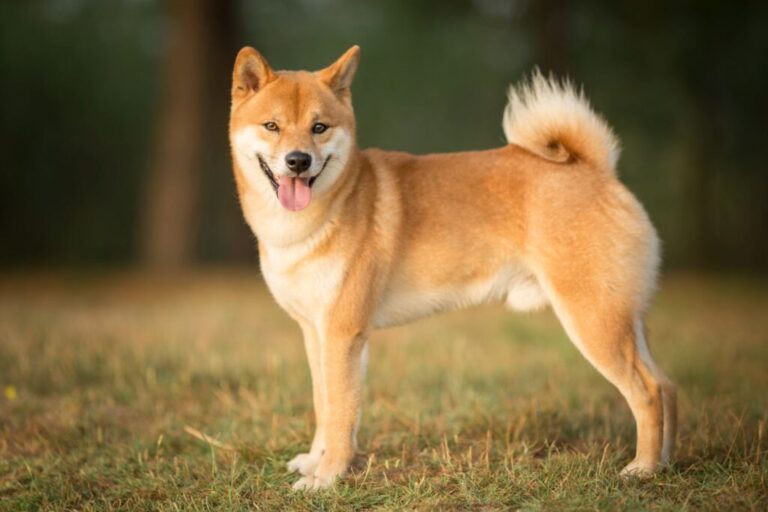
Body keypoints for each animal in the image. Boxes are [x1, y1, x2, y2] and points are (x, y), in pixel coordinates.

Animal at [228, 46, 680, 490]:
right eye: (272, 126)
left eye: (319, 127)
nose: (298, 160)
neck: (319, 216)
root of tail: (598, 170)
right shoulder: (316, 332)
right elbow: (325, 405)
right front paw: (314, 462)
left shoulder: (343, 333)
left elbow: (340, 411)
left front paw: (328, 477)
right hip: (624, 321)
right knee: (667, 385)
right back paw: (665, 464)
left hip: (594, 320)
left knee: (647, 391)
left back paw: (641, 468)